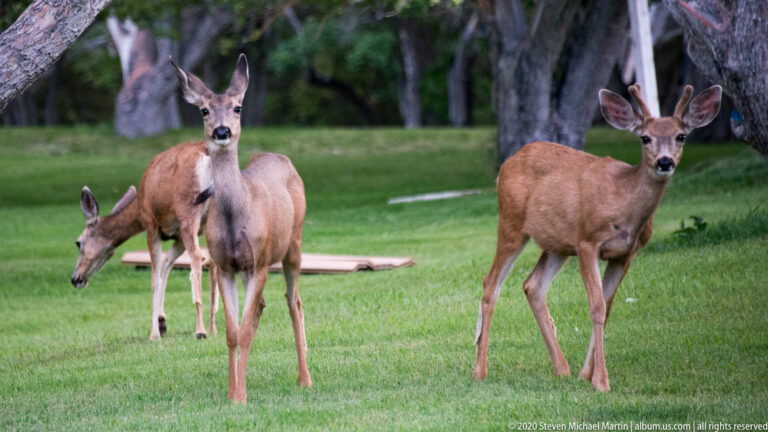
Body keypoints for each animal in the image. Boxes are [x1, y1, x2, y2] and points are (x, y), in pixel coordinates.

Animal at [72, 141, 219, 341]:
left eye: (78, 242)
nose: (75, 278)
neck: (139, 207)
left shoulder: (152, 226)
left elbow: (154, 277)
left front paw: (154, 333)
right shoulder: (178, 236)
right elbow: (166, 264)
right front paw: (162, 321)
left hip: (188, 211)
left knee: (197, 257)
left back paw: (201, 330)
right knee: (214, 261)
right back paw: (213, 328)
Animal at [170, 53, 311, 404]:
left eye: (237, 107)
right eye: (204, 110)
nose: (222, 131)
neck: (236, 214)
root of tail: (282, 158)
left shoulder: (258, 262)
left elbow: (245, 331)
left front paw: (242, 396)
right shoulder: (224, 265)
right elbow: (233, 333)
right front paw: (233, 393)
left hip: (293, 246)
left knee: (293, 302)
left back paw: (305, 378)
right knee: (267, 305)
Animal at [473, 83, 722, 391]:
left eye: (681, 136)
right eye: (645, 138)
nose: (665, 162)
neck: (624, 203)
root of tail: (506, 164)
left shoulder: (626, 254)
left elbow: (608, 306)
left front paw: (586, 374)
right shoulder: (588, 242)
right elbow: (596, 307)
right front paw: (601, 381)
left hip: (557, 244)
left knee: (533, 286)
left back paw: (562, 370)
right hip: (512, 223)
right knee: (491, 284)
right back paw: (480, 372)